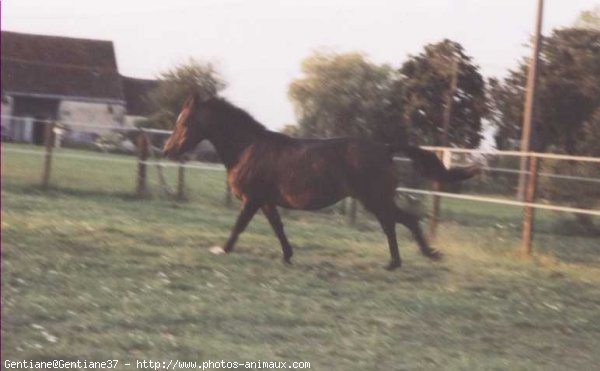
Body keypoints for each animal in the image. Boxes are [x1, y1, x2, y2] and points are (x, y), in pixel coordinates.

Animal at [162, 92, 480, 270]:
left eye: (185, 121)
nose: (167, 150)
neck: (247, 148)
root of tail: (384, 148)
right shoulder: (265, 201)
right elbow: (278, 227)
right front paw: (287, 256)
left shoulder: (252, 199)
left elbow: (239, 226)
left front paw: (222, 249)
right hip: (377, 199)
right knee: (402, 222)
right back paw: (416, 257)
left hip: (374, 199)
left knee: (396, 223)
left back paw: (402, 261)